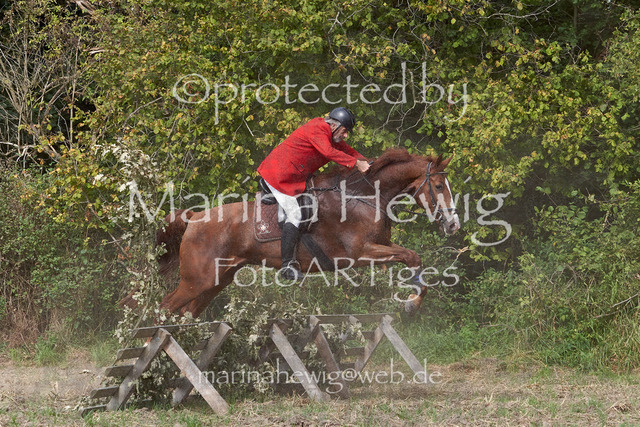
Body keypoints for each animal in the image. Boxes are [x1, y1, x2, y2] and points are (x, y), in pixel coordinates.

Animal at [122, 148, 460, 317]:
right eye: (438, 186)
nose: (454, 225)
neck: (362, 196)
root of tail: (195, 217)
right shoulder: (360, 253)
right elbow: (411, 257)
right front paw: (411, 303)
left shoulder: (378, 249)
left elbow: (413, 260)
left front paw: (413, 298)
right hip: (197, 280)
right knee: (165, 307)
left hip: (217, 280)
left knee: (187, 312)